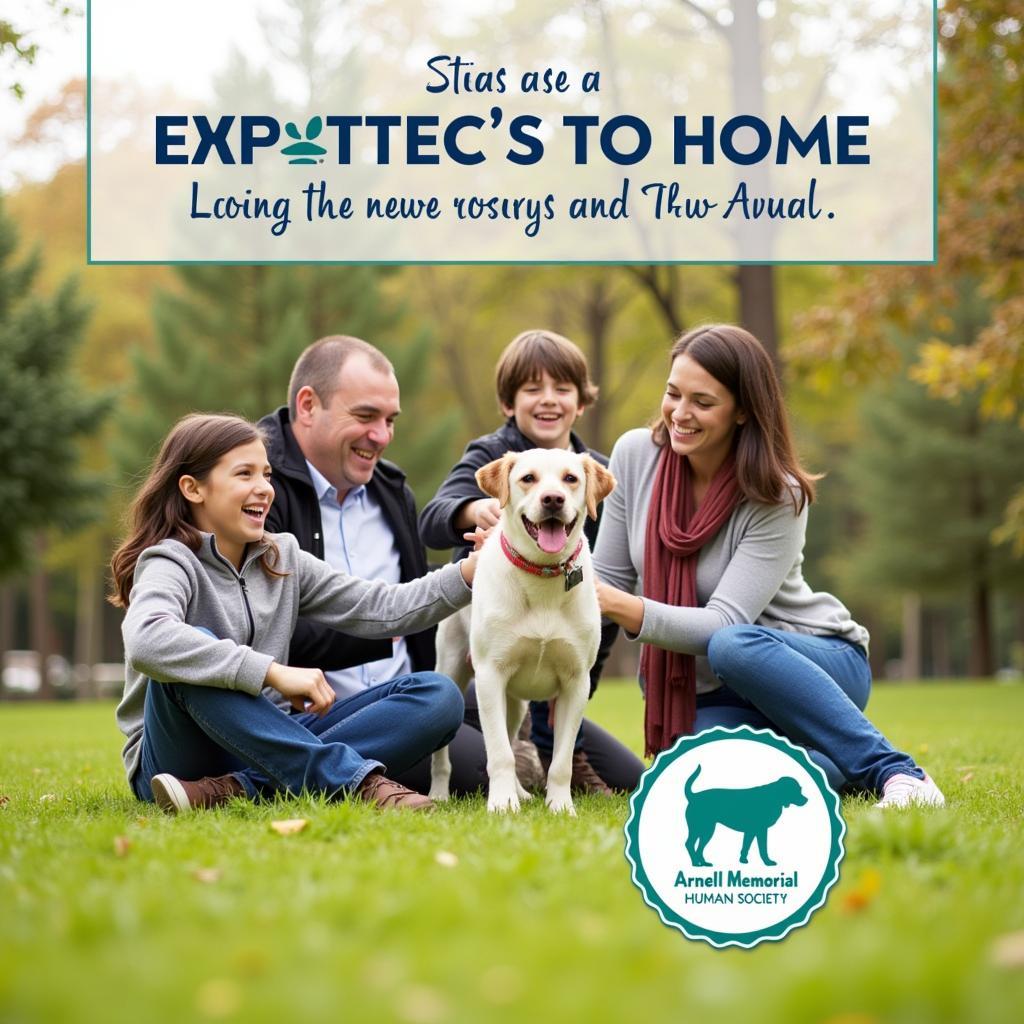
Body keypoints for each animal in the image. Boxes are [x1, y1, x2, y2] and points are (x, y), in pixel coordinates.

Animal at [430, 448, 614, 815]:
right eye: (528, 478)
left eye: (570, 478)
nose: (553, 499)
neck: (543, 575)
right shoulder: (490, 676)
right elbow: (499, 754)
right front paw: (502, 805)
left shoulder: (576, 682)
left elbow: (560, 762)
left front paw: (561, 807)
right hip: (453, 669)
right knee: (449, 753)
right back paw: (439, 794)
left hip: (515, 702)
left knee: (514, 738)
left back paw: (522, 792)